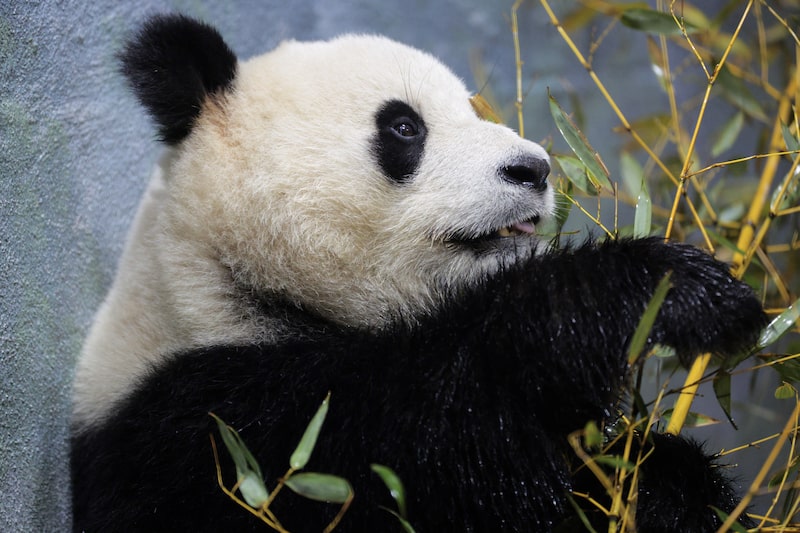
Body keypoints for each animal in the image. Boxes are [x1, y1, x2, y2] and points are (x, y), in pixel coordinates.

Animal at [71, 14, 766, 532]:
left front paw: (671, 485)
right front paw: (664, 290)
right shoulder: (221, 434)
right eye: (404, 126)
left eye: (472, 109)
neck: (225, 285)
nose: (535, 169)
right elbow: (447, 432)